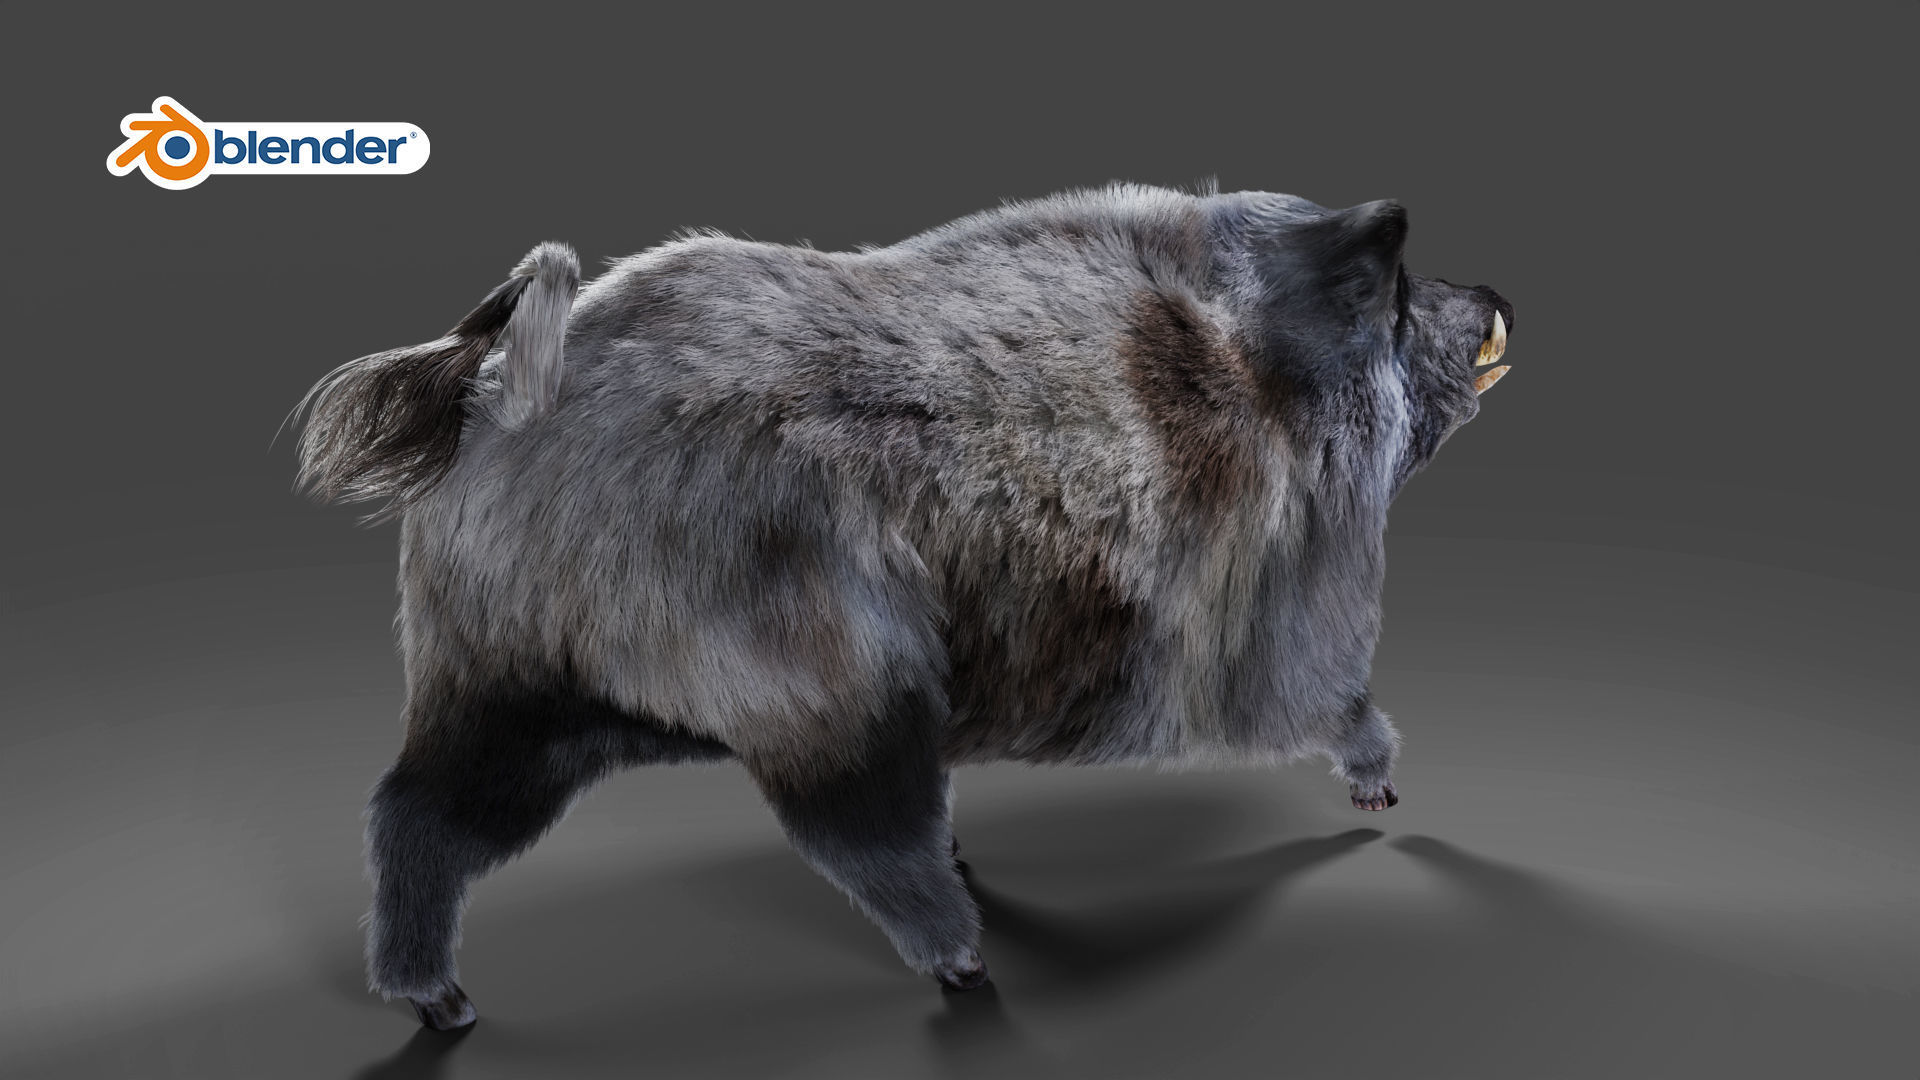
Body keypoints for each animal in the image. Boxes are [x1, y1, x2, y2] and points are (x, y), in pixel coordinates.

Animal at [295, 183, 1515, 1029]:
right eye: (1400, 295)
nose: (1499, 294)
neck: (1254, 379)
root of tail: (514, 398)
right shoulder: (1268, 602)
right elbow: (1319, 694)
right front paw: (1380, 789)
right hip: (826, 670)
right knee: (855, 830)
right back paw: (965, 962)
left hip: (508, 681)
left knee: (416, 811)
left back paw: (442, 1006)